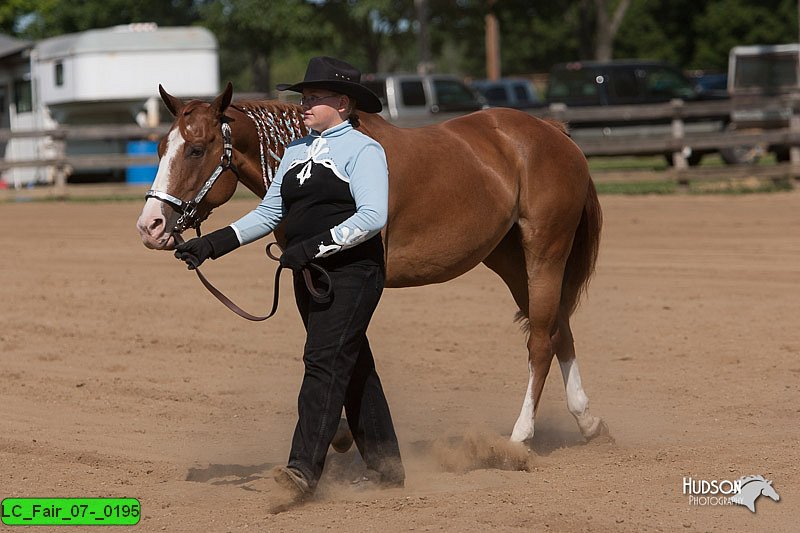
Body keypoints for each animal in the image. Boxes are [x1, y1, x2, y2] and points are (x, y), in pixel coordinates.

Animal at [138, 82, 608, 440]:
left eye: (197, 149)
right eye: (160, 147)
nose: (151, 225)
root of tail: (551, 131)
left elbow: (343, 351)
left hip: (545, 251)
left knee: (541, 340)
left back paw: (519, 437)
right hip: (508, 258)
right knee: (557, 327)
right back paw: (588, 422)